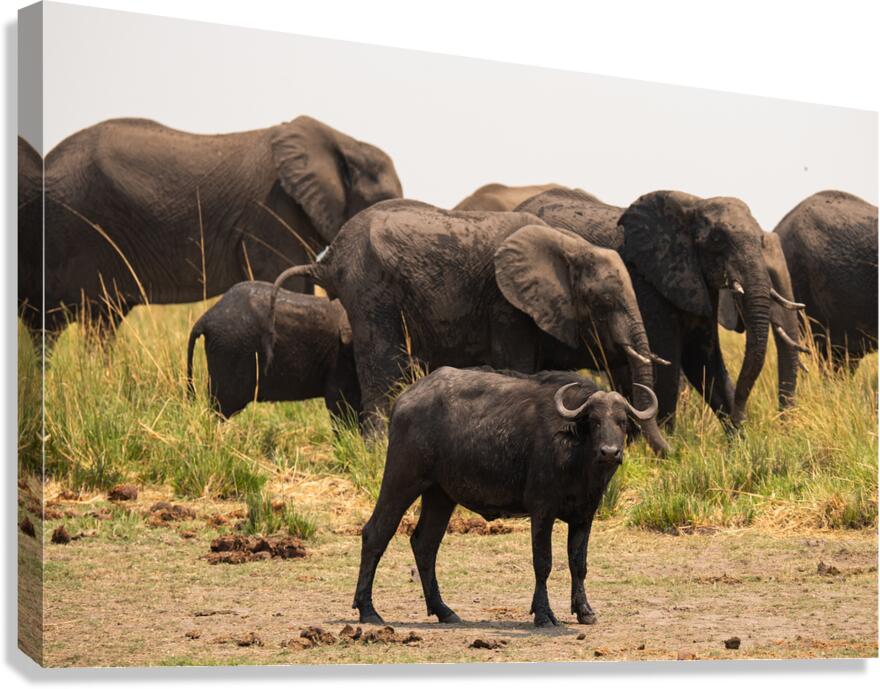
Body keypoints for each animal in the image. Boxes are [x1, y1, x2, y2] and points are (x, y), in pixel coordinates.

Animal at [272, 199, 671, 455]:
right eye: (603, 301)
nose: (670, 455)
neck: (568, 245)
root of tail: (329, 257)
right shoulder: (505, 304)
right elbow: (518, 365)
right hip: (371, 290)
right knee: (382, 364)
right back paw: (375, 451)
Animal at [516, 187, 805, 428]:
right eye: (716, 240)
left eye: (759, 239)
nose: (743, 417)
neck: (693, 206)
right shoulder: (649, 282)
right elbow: (669, 365)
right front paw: (671, 448)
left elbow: (704, 361)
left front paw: (739, 444)